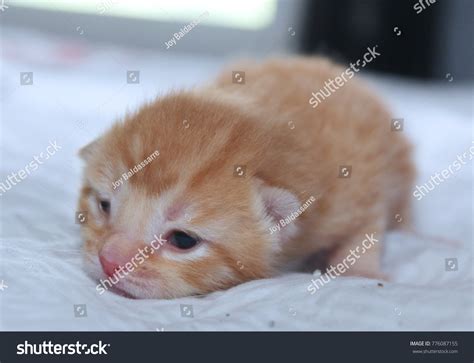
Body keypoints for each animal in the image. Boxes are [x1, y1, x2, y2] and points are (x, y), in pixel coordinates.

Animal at [78, 58, 414, 300]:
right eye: (104, 205)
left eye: (183, 240)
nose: (109, 261)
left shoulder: (360, 183)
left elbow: (365, 232)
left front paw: (362, 273)